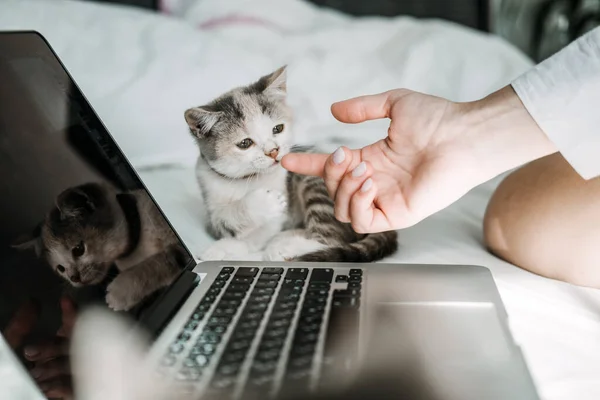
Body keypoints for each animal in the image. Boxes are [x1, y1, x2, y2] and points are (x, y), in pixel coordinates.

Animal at [183, 66, 398, 262]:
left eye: (277, 129)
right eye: (245, 143)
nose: (273, 151)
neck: (244, 180)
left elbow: (263, 230)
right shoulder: (210, 207)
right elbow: (228, 220)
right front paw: (224, 246)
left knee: (334, 240)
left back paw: (288, 247)